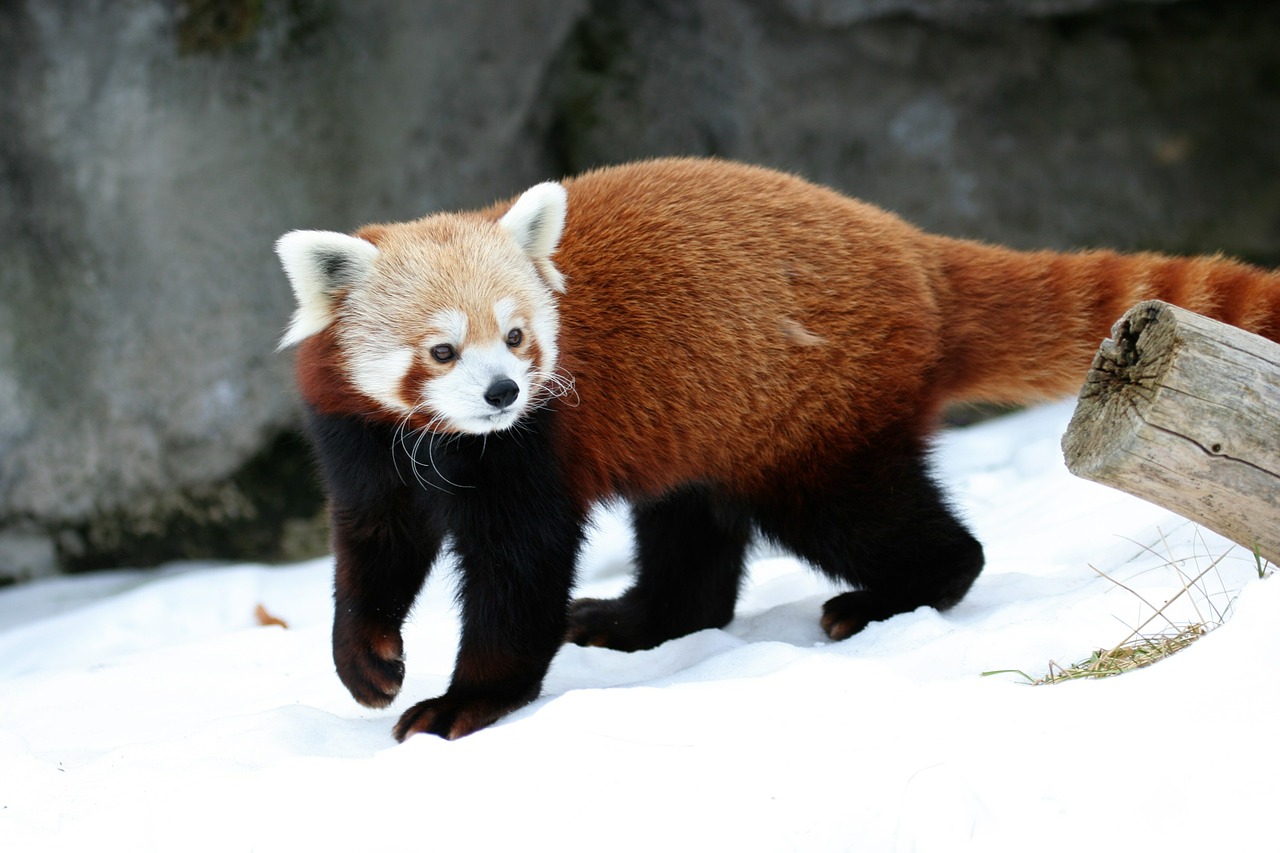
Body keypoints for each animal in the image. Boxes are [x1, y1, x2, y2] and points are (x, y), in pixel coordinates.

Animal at [277, 154, 1280, 737]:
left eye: (518, 337)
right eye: (443, 350)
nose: (502, 393)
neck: (444, 441)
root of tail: (916, 252)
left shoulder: (533, 448)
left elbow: (518, 570)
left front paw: (467, 701)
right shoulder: (363, 441)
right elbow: (374, 547)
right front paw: (367, 662)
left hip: (812, 419)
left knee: (878, 522)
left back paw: (887, 596)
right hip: (709, 419)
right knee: (692, 531)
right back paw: (638, 620)